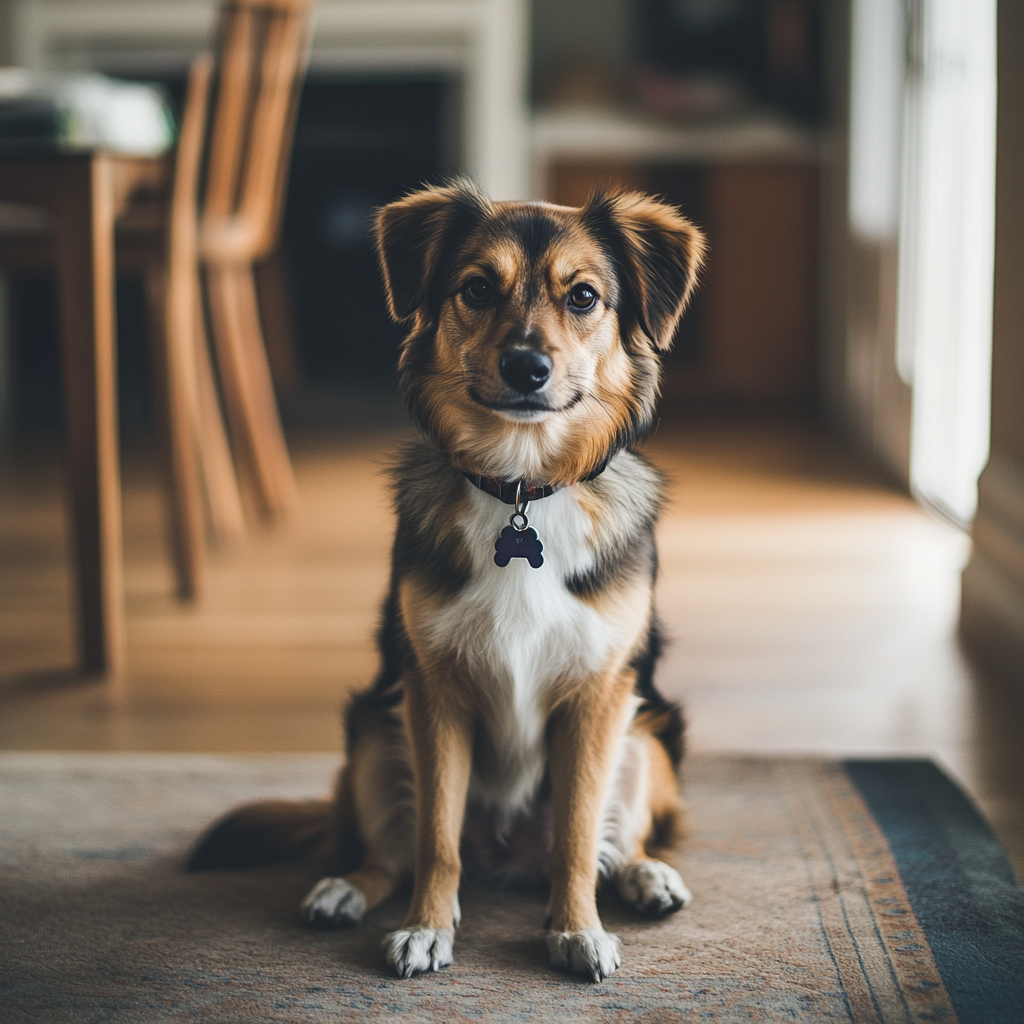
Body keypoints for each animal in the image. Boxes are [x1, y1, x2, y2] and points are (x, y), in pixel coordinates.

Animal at [186, 182, 704, 983]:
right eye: (478, 288)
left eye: (584, 296)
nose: (527, 367)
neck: (523, 487)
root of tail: (507, 856)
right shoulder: (433, 690)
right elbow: (436, 835)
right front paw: (426, 927)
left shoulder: (598, 695)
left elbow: (578, 835)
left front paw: (576, 929)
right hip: (374, 733)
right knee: (390, 852)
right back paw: (345, 887)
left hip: (644, 734)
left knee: (613, 845)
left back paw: (646, 874)